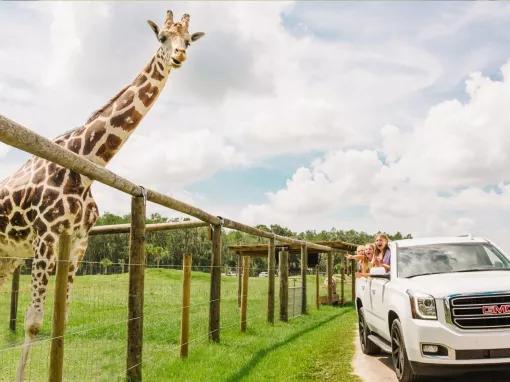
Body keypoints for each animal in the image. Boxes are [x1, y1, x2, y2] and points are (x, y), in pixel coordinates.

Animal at [0, 10, 203, 380]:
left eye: (188, 40)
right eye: (162, 38)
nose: (179, 56)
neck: (86, 164)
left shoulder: (79, 241)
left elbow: (60, 321)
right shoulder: (46, 235)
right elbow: (33, 323)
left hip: (8, 255)